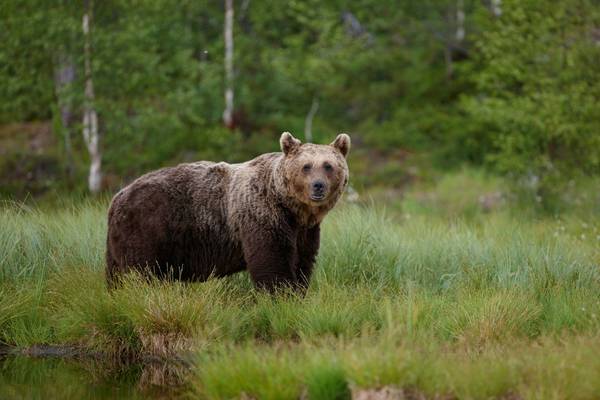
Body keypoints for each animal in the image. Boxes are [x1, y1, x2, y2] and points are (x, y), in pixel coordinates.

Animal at [106, 133, 352, 292]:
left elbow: (303, 261)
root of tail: (118, 196)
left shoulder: (304, 230)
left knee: (115, 274)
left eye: (328, 165)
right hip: (149, 227)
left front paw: (298, 291)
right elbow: (272, 260)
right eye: (306, 166)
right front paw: (281, 295)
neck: (292, 208)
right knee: (139, 271)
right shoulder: (261, 215)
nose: (318, 186)